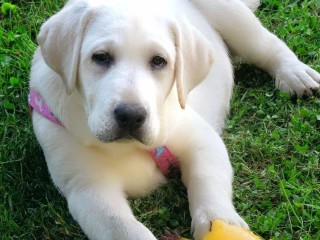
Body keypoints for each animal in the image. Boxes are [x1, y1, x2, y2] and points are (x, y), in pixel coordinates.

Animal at [28, 0, 318, 239]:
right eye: (100, 57)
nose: (130, 116)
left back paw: (295, 73)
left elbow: (207, 179)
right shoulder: (88, 187)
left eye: (159, 61)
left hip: (233, 17)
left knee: (266, 45)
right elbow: (121, 227)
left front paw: (218, 219)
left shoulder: (200, 139)